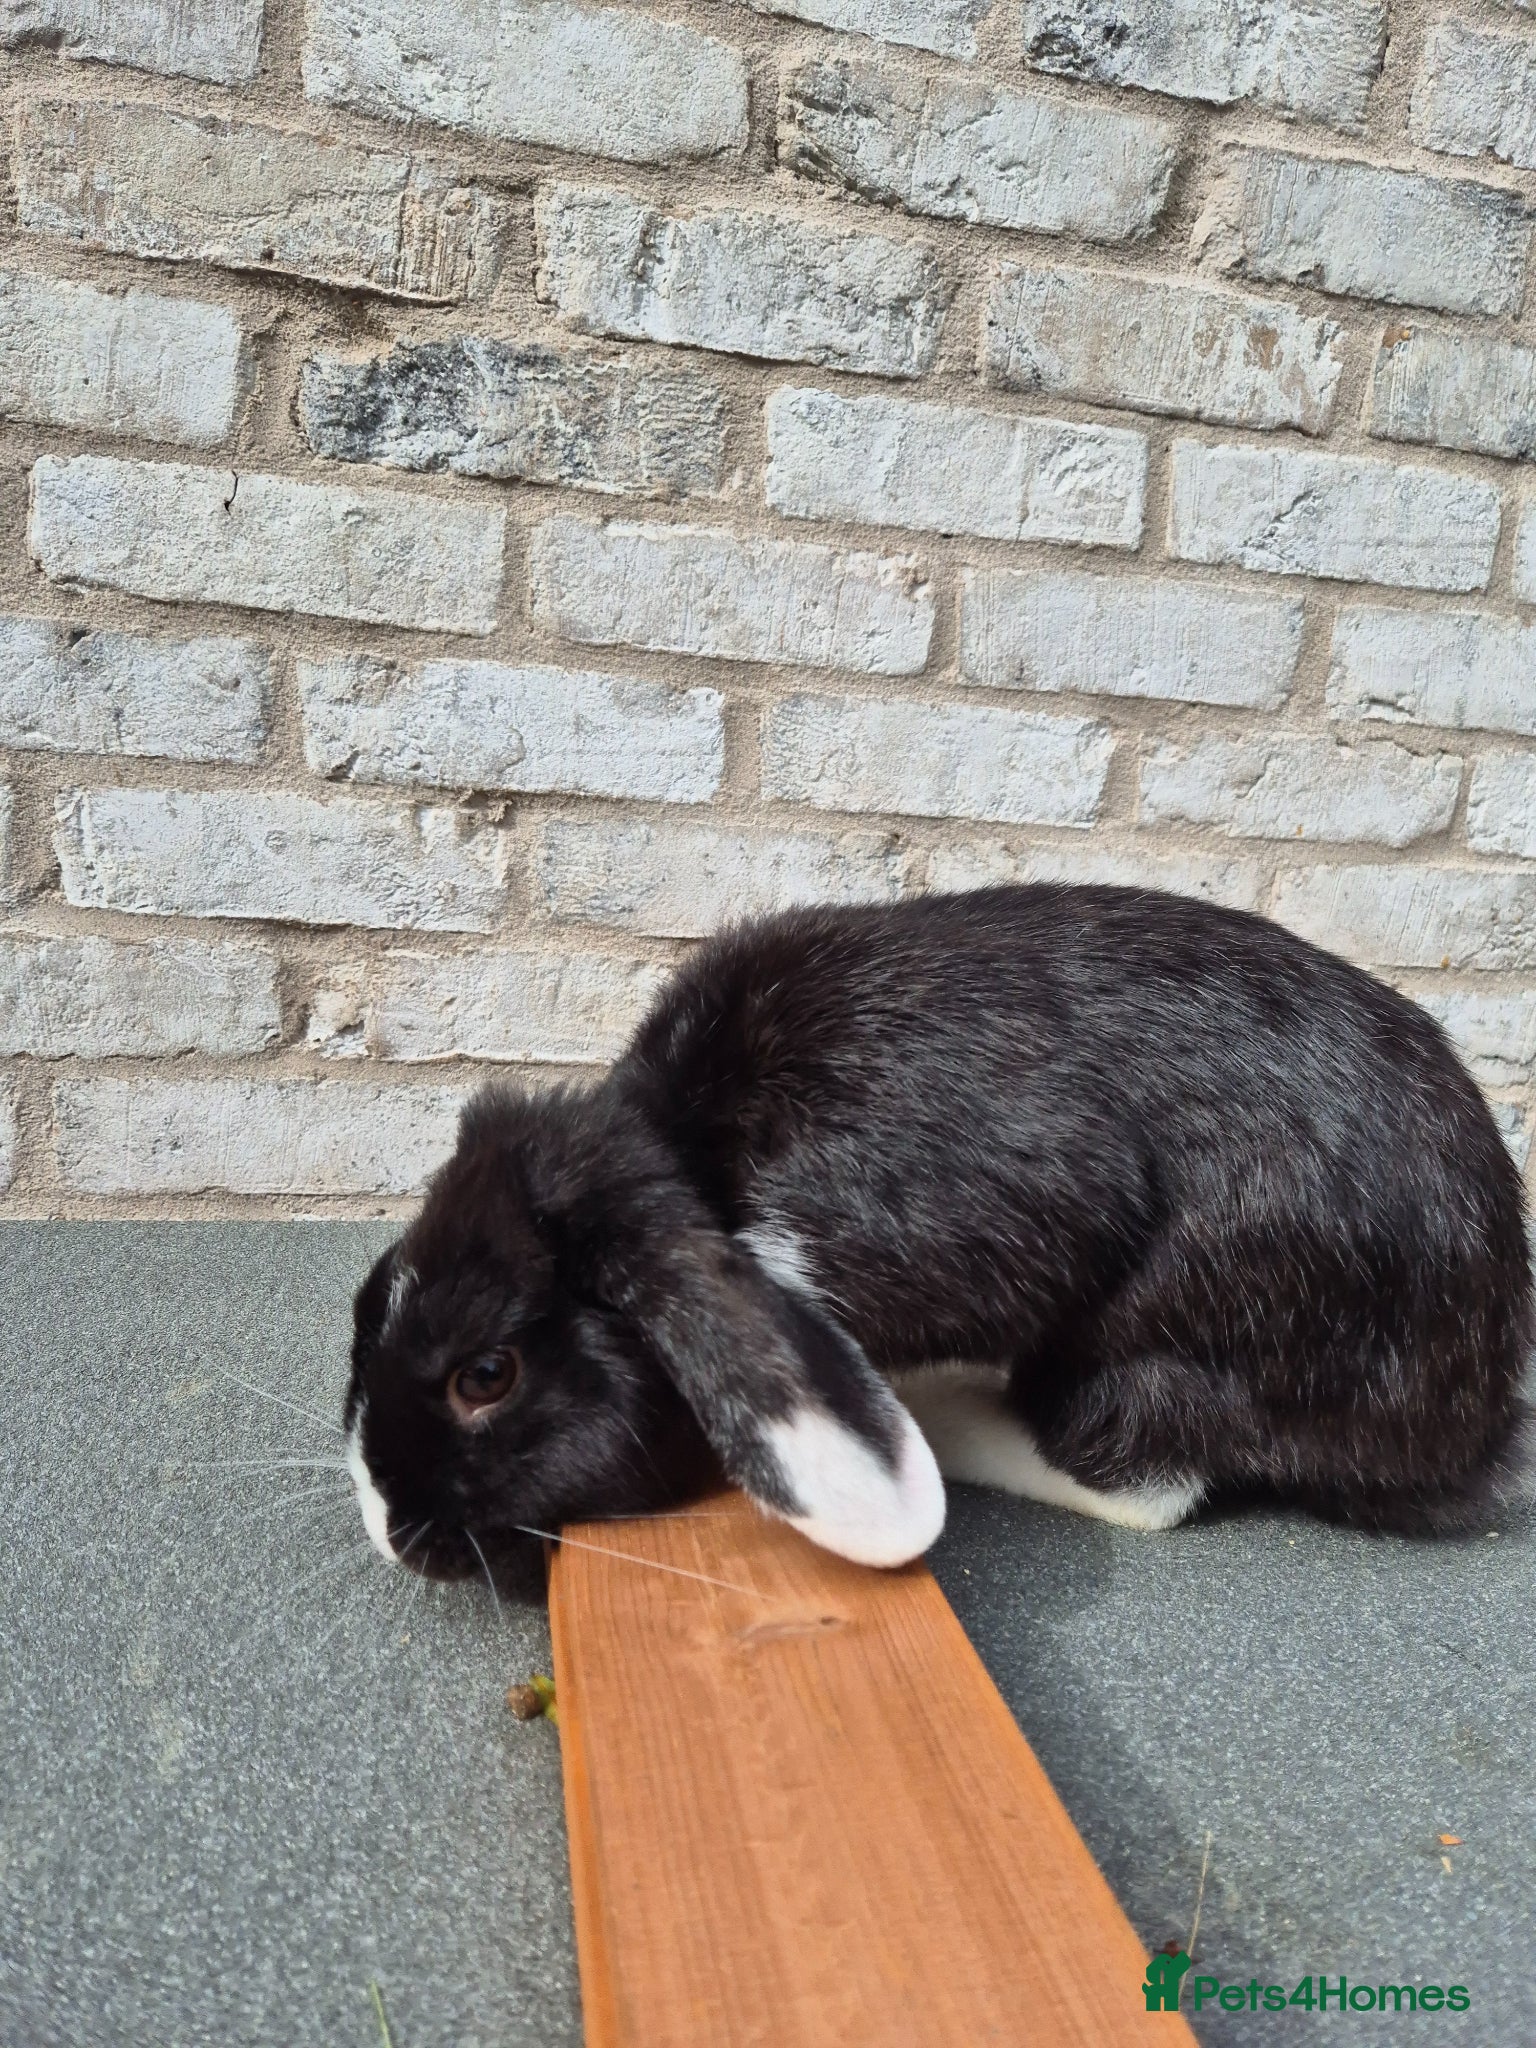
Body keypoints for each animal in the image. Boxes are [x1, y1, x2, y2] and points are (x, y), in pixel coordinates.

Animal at [344, 883, 1532, 1579]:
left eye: (487, 1374)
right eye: (370, 1296)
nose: (382, 1522)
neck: (696, 1165)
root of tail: (1468, 1409)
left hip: (1175, 1330)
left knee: (1139, 1470)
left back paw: (960, 1419)